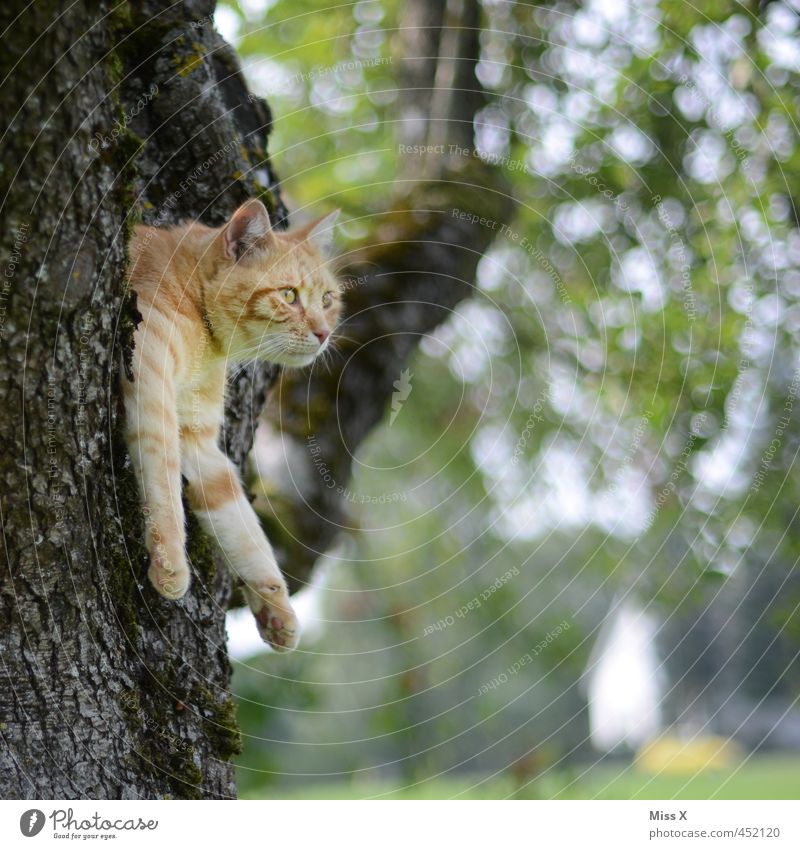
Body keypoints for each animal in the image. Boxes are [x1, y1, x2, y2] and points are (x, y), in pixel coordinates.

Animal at [125, 199, 340, 648]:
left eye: (328, 298)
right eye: (289, 295)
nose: (324, 333)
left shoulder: (199, 440)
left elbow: (241, 521)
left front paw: (276, 604)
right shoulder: (149, 376)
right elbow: (162, 477)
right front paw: (170, 563)